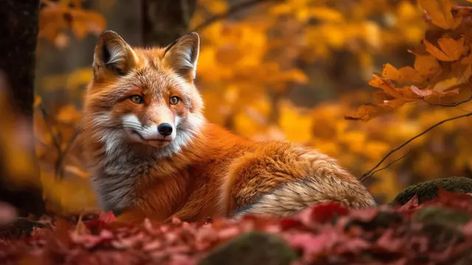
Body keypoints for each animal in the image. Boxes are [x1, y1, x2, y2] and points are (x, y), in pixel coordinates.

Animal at [82, 30, 376, 221]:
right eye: (137, 98)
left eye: (173, 100)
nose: (166, 129)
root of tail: (358, 195)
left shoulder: (146, 214)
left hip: (242, 171)